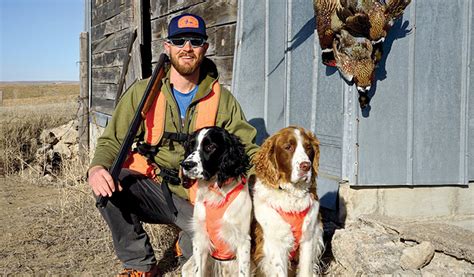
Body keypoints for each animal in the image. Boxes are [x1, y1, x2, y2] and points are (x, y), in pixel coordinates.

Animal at [180, 126, 252, 276]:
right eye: (191, 145)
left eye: (210, 147)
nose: (186, 165)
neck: (215, 193)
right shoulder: (200, 239)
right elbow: (198, 271)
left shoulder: (243, 241)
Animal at [250, 126, 324, 274]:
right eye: (288, 147)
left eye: (308, 147)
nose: (306, 166)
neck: (292, 196)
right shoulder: (275, 245)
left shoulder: (309, 238)